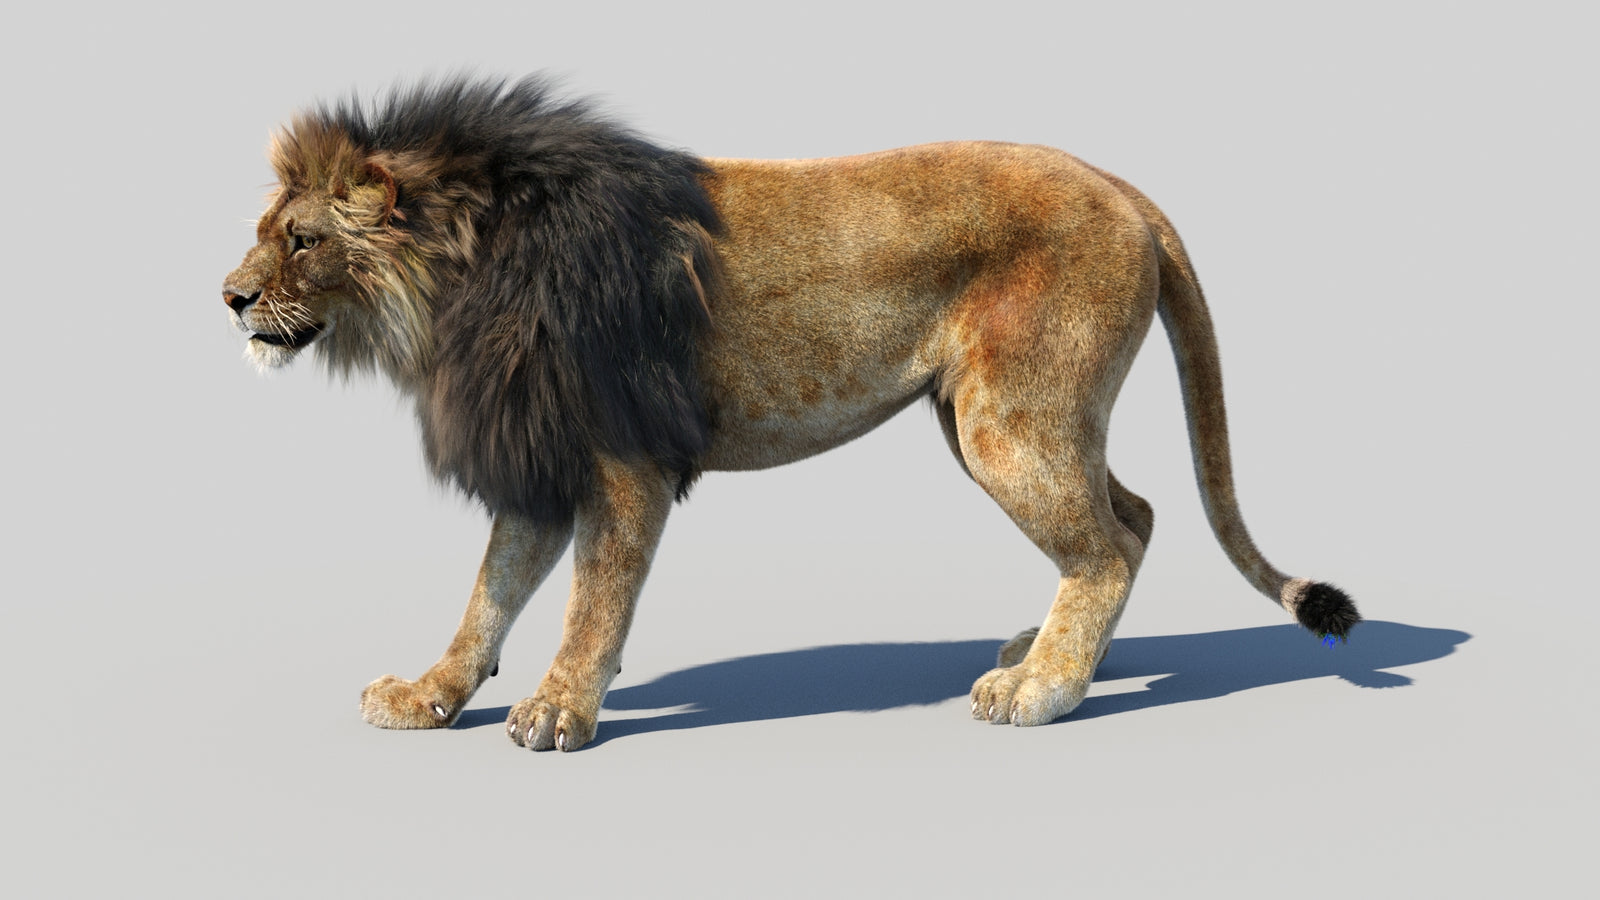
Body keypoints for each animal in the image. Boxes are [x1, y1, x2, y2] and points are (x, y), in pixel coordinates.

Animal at [222, 76, 1358, 752]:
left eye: (303, 240)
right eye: (266, 230)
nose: (227, 296)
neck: (459, 279)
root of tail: (1124, 188)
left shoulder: (622, 462)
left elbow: (593, 603)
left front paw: (557, 710)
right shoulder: (542, 461)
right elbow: (486, 599)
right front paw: (430, 696)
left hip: (1008, 422)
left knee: (1109, 545)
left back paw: (1040, 690)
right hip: (1005, 418)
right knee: (1137, 516)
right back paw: (1055, 655)